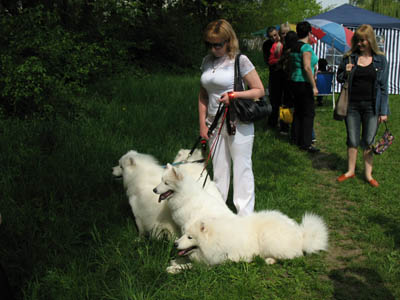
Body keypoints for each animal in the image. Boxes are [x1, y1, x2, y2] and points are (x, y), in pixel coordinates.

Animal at [167, 210, 330, 274]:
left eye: (190, 237)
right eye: (183, 234)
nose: (175, 244)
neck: (214, 238)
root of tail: (301, 235)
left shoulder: (213, 263)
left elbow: (190, 266)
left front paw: (173, 268)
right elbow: (186, 260)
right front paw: (176, 261)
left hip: (268, 237)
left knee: (291, 256)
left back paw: (269, 260)